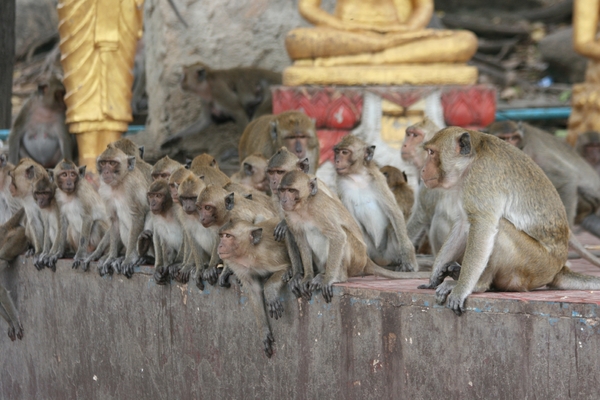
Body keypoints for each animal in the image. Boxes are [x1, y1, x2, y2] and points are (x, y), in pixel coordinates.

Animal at [89, 147, 149, 278]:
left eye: (112, 163)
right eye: (103, 163)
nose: (106, 172)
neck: (118, 184)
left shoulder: (132, 187)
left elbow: (137, 216)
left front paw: (129, 258)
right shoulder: (105, 192)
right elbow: (115, 220)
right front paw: (111, 258)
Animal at [218, 219, 290, 360]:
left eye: (228, 236)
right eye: (222, 235)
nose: (220, 245)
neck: (248, 253)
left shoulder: (268, 254)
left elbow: (285, 268)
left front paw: (269, 291)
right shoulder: (237, 265)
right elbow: (254, 291)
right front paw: (264, 331)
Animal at [278, 170, 428, 302]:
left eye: (291, 190)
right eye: (282, 191)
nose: (283, 200)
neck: (302, 207)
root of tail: (367, 259)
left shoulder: (320, 210)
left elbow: (338, 236)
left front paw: (328, 279)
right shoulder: (290, 217)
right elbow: (302, 241)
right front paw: (306, 278)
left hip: (357, 258)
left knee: (343, 235)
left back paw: (337, 276)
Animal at [332, 135, 418, 272]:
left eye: (345, 152)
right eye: (337, 152)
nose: (337, 161)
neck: (357, 177)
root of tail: (381, 259)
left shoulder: (378, 180)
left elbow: (394, 212)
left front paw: (407, 257)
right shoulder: (341, 184)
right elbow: (351, 221)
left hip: (390, 252)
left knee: (392, 228)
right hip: (371, 249)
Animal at [420, 128, 600, 316]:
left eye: (432, 152)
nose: (423, 169)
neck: (473, 158)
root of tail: (559, 267)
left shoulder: (480, 178)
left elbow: (483, 226)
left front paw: (462, 289)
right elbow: (463, 224)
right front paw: (434, 276)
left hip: (535, 265)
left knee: (500, 228)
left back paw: (478, 285)